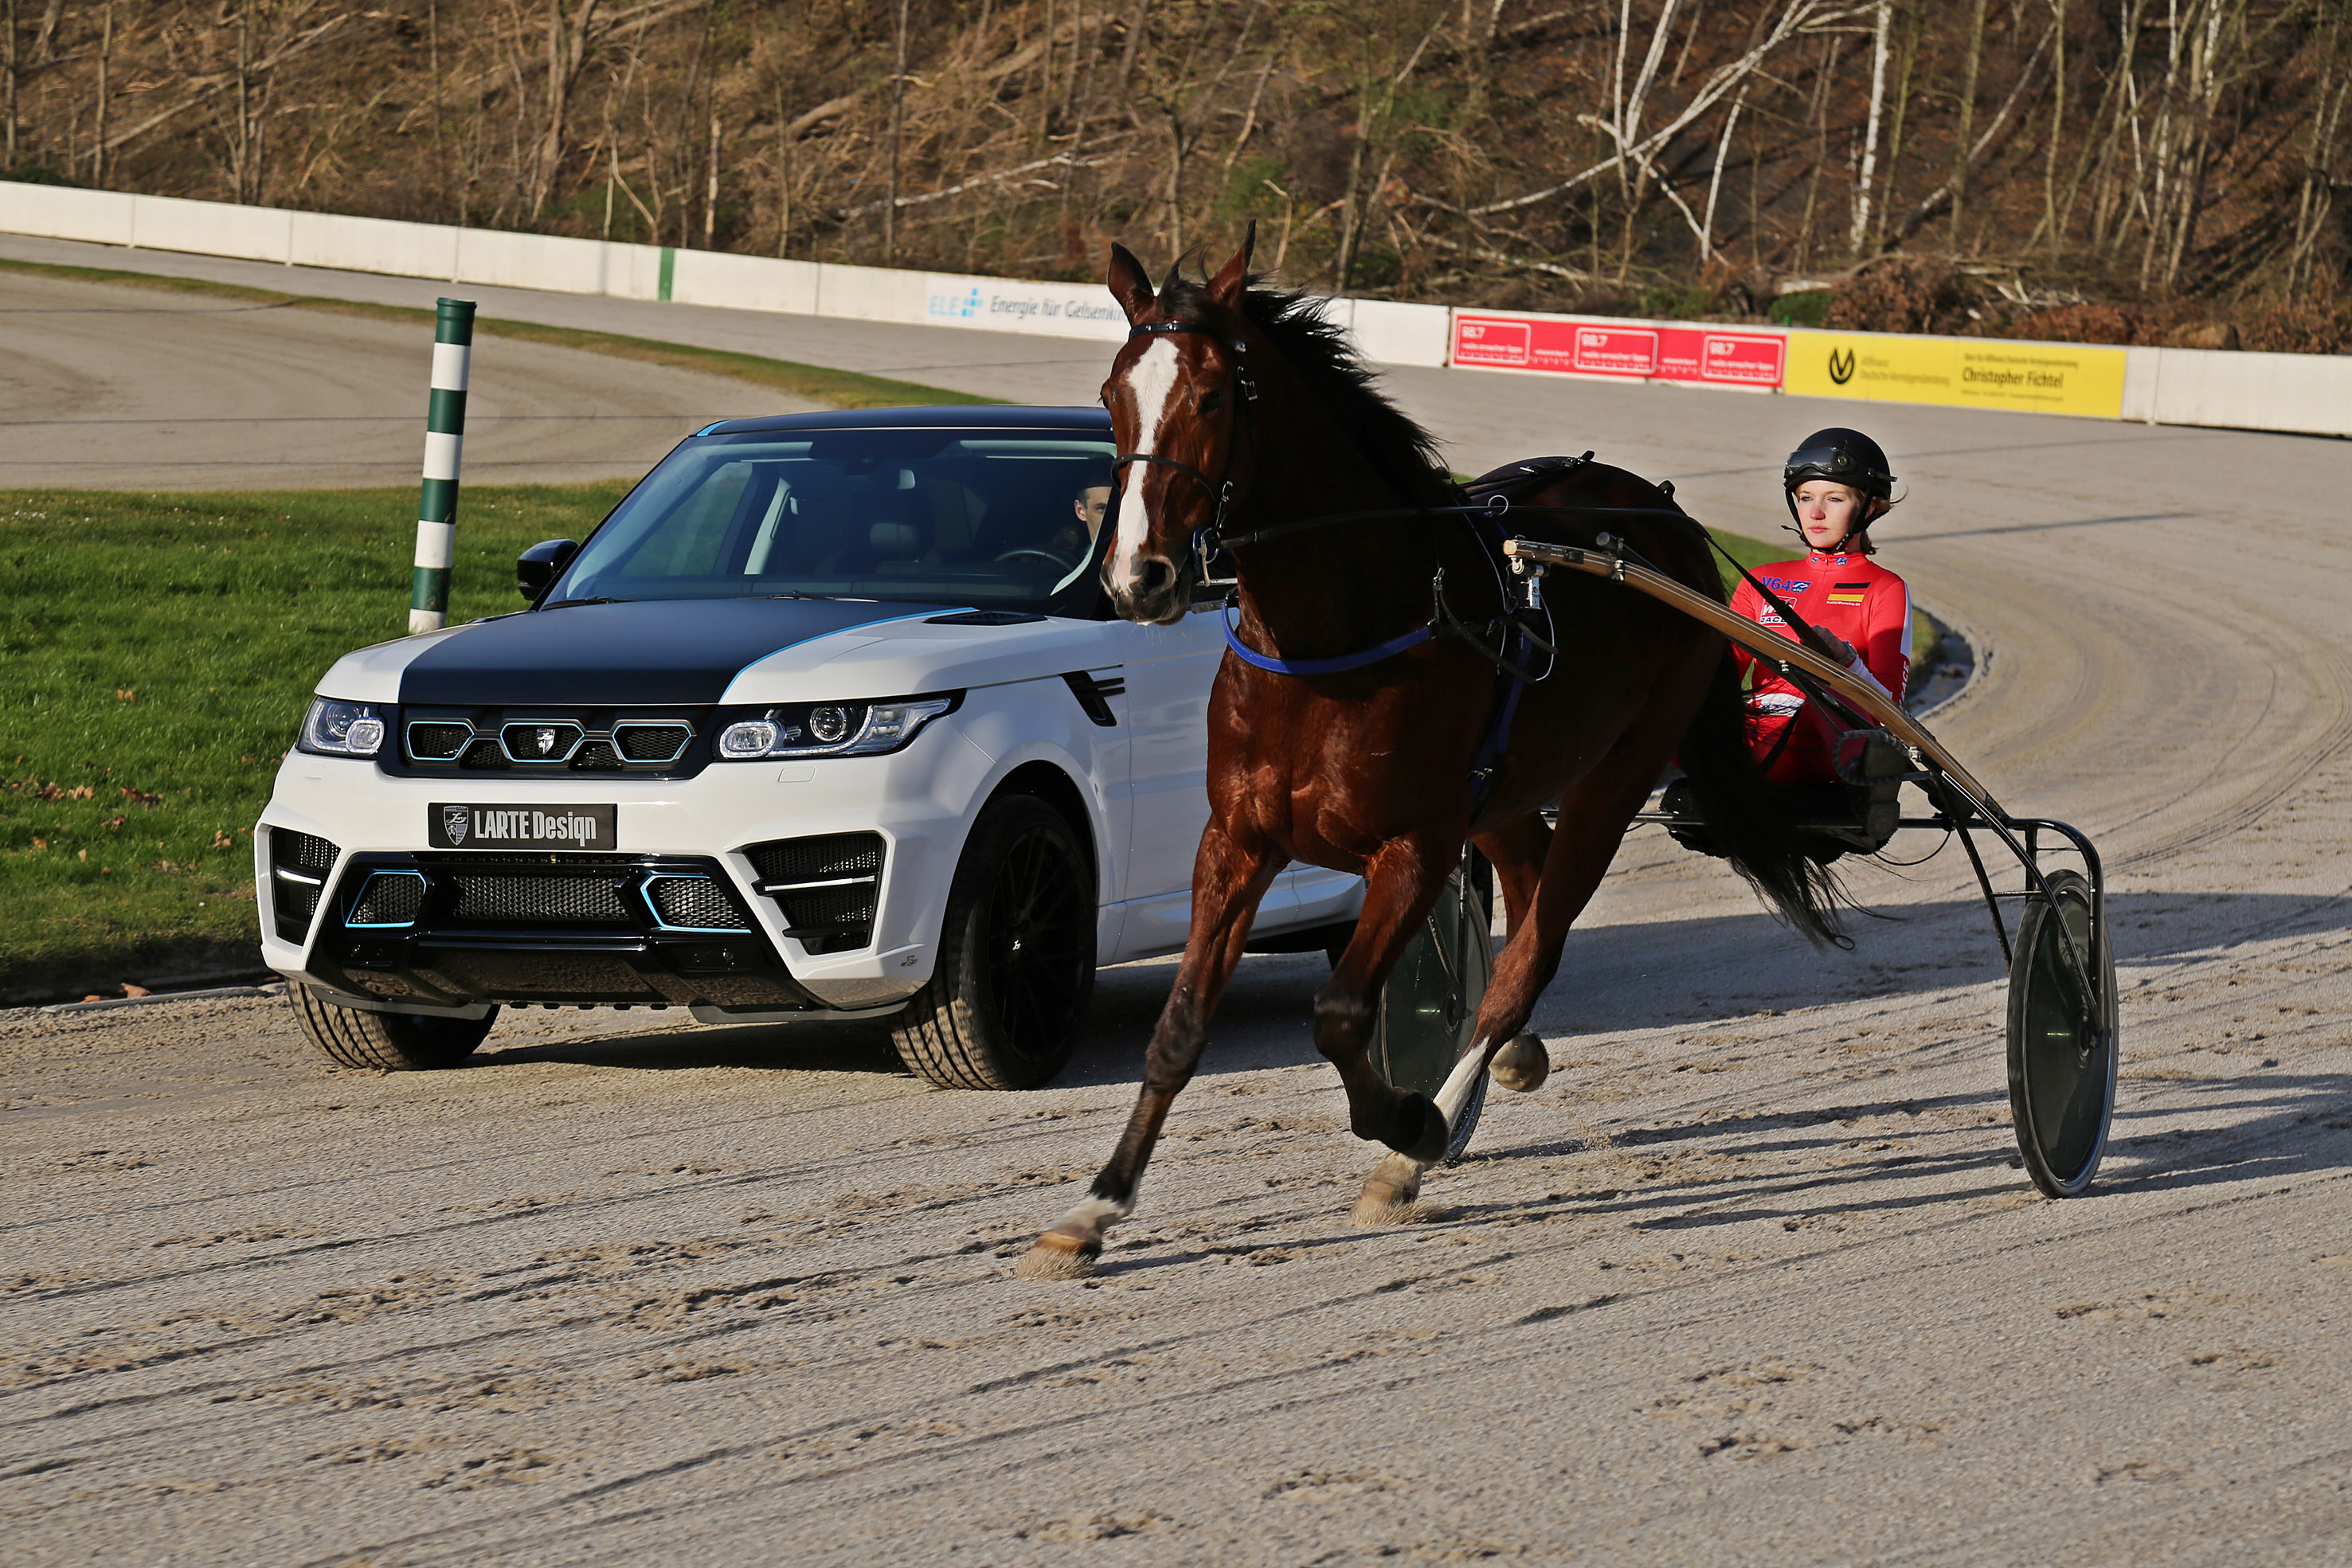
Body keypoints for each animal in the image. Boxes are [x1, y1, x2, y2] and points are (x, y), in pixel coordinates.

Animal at [1020, 236, 1844, 1288]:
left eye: (1208, 396)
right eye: (1112, 393)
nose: (1139, 577)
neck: (1331, 640)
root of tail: (1663, 524)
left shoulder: (1412, 845)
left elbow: (1339, 1012)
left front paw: (1406, 1122)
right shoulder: (1235, 840)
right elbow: (1178, 1027)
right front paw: (1091, 1209)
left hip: (1615, 773)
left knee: (1531, 948)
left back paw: (1429, 1133)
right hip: (1504, 792)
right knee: (1526, 889)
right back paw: (1511, 1057)